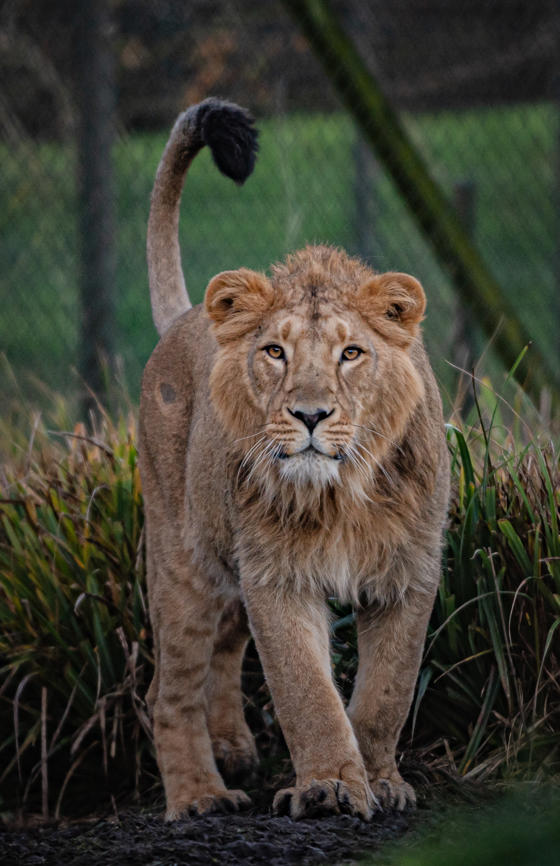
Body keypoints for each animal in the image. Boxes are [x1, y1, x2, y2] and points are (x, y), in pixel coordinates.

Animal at [139, 98, 450, 821]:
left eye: (351, 353)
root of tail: (186, 317)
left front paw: (381, 780)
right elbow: (306, 693)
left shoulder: (409, 573)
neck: (344, 491)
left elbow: (385, 695)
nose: (310, 415)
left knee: (225, 648)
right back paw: (199, 795)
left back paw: (232, 747)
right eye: (275, 352)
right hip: (182, 562)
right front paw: (330, 786)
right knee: (168, 693)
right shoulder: (277, 576)